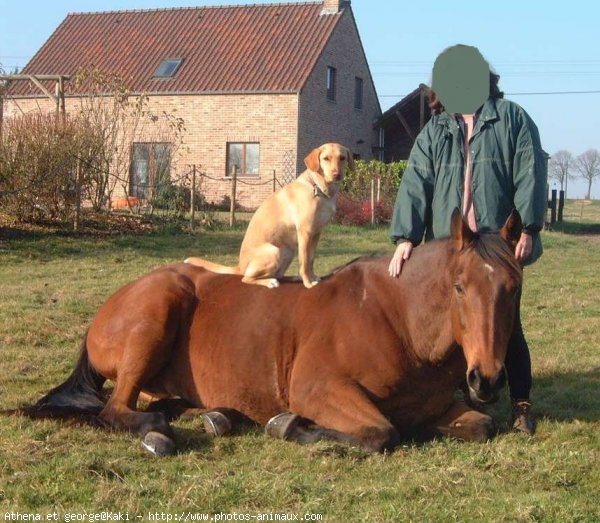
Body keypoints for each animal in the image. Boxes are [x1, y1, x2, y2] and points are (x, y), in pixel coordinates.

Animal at [27, 211, 524, 456]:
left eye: (514, 287)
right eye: (459, 287)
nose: (487, 379)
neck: (398, 322)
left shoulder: (438, 406)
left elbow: (481, 426)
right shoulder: (318, 389)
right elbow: (381, 434)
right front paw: (290, 427)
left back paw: (215, 416)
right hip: (156, 315)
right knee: (117, 410)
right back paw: (161, 431)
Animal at [184, 143, 352, 288]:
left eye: (342, 157)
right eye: (326, 158)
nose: (337, 174)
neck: (318, 189)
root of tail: (240, 266)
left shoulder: (316, 233)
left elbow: (310, 260)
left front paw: (313, 277)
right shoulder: (305, 232)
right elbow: (304, 262)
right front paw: (308, 283)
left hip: (288, 251)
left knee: (278, 275)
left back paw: (291, 278)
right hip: (274, 251)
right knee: (247, 278)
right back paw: (270, 282)